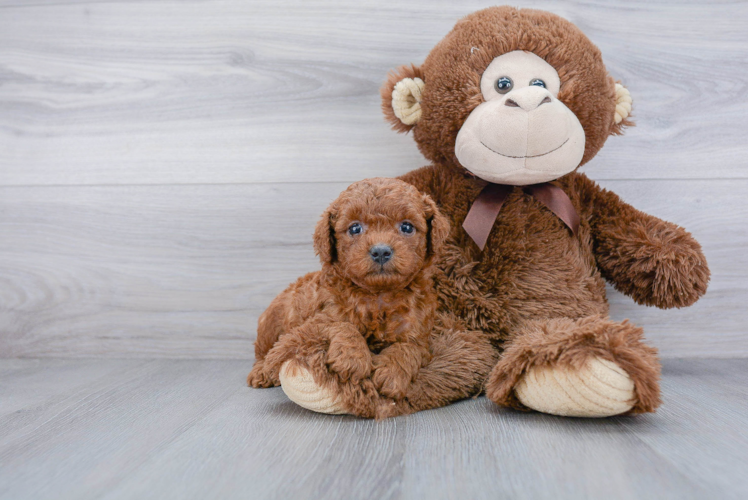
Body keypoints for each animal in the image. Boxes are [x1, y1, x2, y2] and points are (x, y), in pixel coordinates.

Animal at [248, 178, 450, 404]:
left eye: (407, 226)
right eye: (355, 228)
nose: (381, 251)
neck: (378, 295)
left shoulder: (419, 335)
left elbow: (409, 348)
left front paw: (392, 373)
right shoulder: (315, 321)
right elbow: (342, 325)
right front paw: (353, 358)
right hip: (270, 325)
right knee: (264, 353)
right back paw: (261, 372)